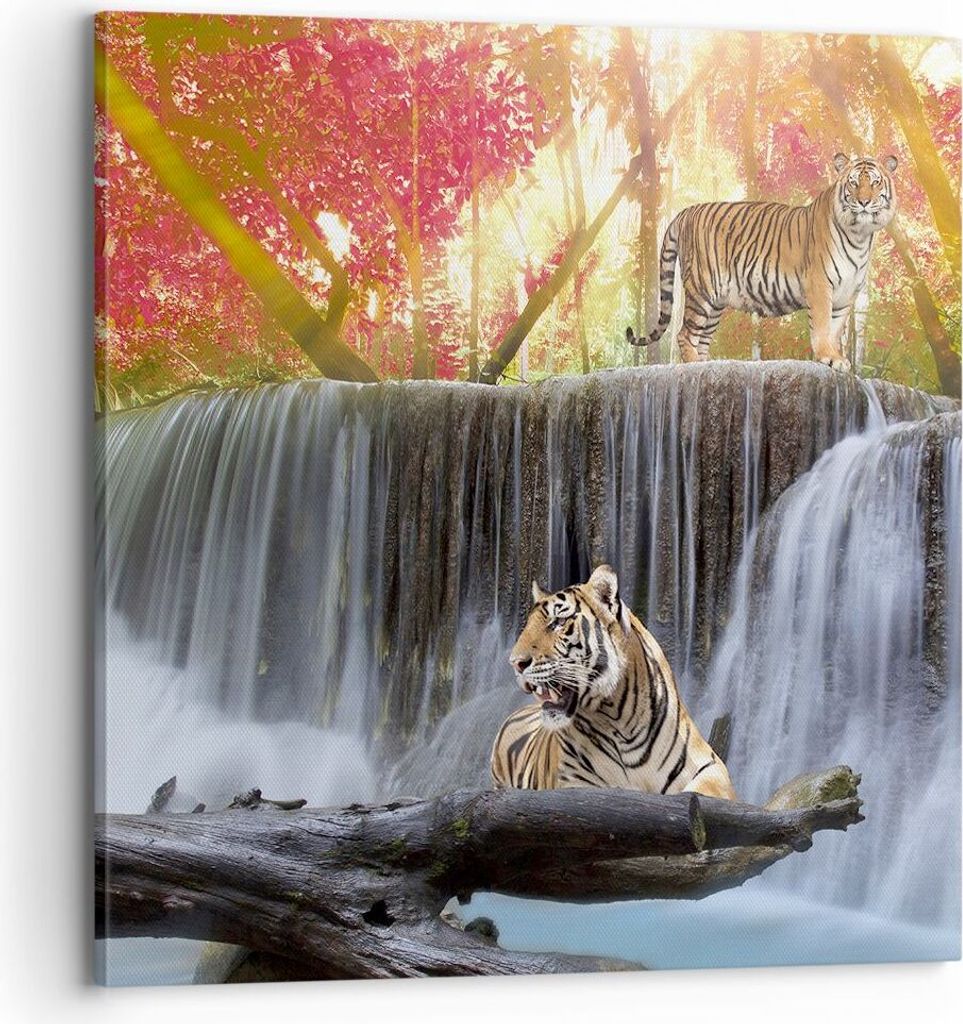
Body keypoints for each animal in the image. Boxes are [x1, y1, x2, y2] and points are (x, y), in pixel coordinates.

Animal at [490, 564, 736, 800]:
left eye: (558, 622)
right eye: (528, 626)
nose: (515, 663)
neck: (619, 720)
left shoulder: (711, 766)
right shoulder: (573, 783)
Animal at [625, 153, 899, 371]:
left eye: (875, 182)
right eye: (853, 182)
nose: (864, 202)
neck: (860, 236)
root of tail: (684, 212)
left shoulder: (846, 295)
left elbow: (834, 330)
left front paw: (836, 357)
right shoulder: (820, 285)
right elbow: (822, 326)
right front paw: (828, 357)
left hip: (715, 302)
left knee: (701, 339)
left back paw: (708, 366)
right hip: (702, 290)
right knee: (685, 334)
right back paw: (694, 368)